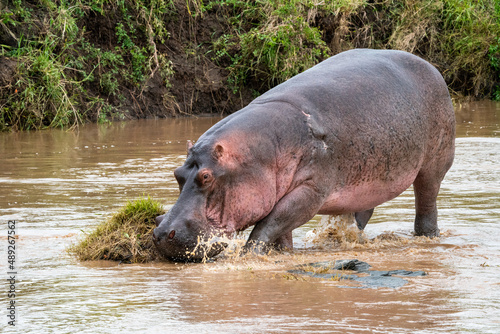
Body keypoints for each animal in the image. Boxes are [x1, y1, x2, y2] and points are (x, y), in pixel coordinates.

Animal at [154, 48, 456, 260]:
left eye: (206, 177)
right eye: (177, 173)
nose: (160, 233)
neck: (259, 153)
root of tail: (432, 68)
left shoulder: (311, 190)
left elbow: (270, 223)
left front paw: (249, 254)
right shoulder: (281, 190)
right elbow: (280, 226)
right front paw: (282, 254)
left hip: (433, 165)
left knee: (427, 202)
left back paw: (428, 237)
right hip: (368, 180)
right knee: (363, 211)